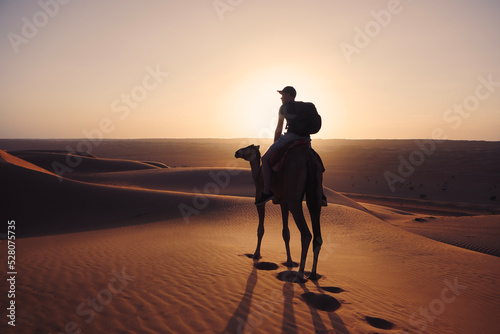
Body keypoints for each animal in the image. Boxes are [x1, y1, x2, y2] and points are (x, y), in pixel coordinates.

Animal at [235, 144, 324, 282]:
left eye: (247, 147)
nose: (236, 152)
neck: (258, 174)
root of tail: (309, 158)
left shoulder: (259, 198)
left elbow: (260, 229)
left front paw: (256, 254)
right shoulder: (283, 202)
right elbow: (286, 232)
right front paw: (289, 261)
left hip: (293, 197)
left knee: (306, 234)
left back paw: (299, 275)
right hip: (315, 194)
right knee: (317, 235)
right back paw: (312, 275)